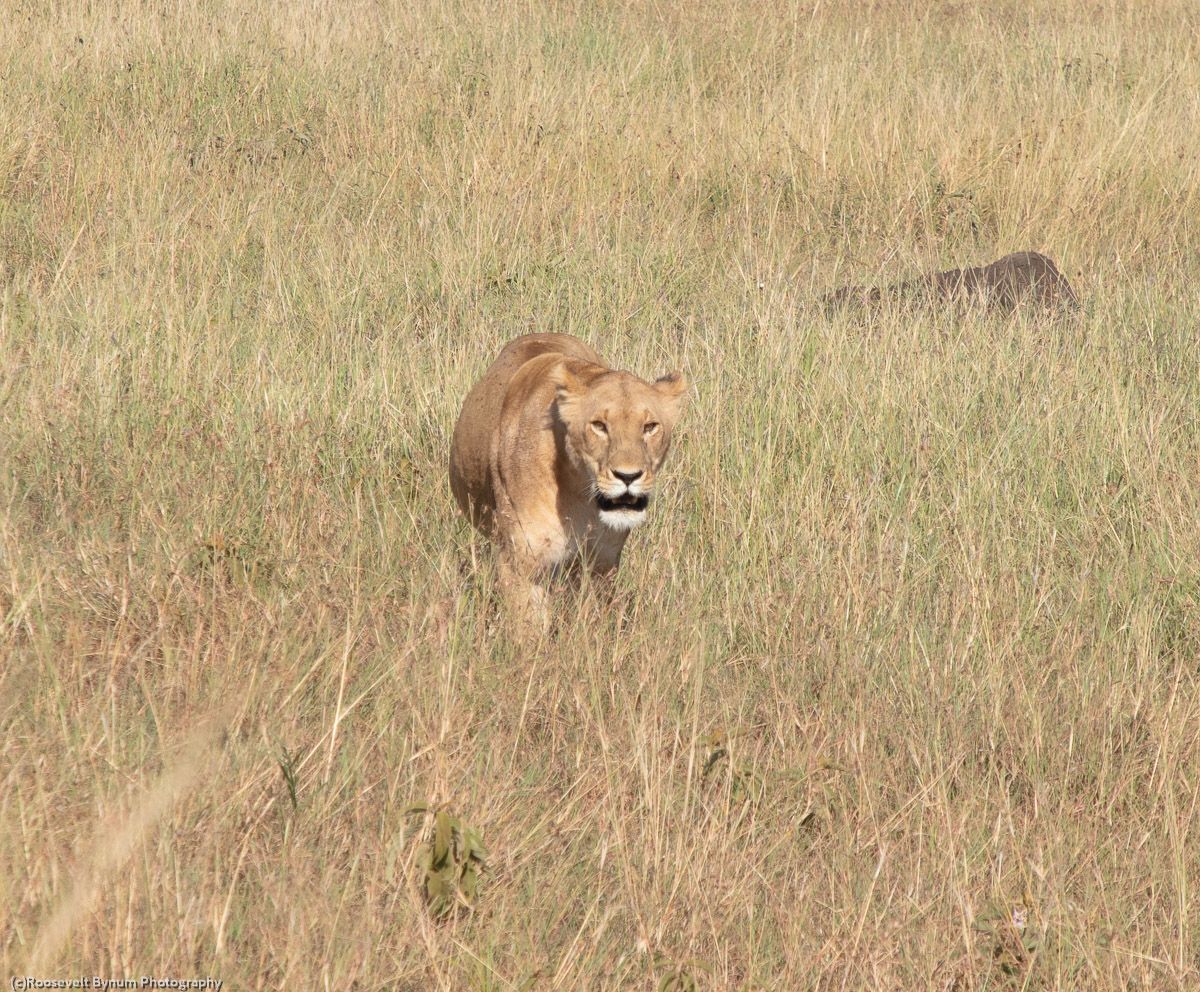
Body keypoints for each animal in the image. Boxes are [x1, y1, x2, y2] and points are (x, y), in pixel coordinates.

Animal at [449, 333, 687, 625]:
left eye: (650, 427)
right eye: (599, 426)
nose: (628, 476)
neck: (581, 496)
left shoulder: (602, 565)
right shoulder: (521, 566)